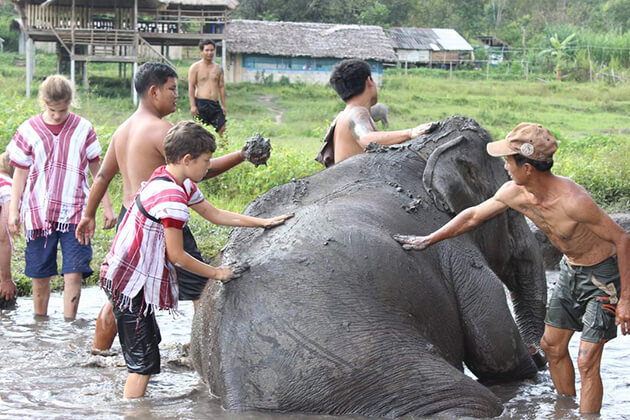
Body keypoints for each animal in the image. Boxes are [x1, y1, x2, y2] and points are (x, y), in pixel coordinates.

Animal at [191, 114, 548, 416]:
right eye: (512, 205)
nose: (539, 352)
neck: (420, 153)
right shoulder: (453, 248)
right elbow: (496, 351)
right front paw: (532, 365)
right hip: (374, 373)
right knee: (473, 401)